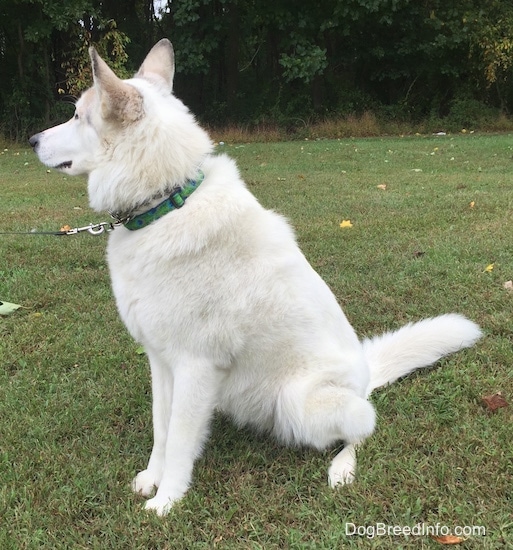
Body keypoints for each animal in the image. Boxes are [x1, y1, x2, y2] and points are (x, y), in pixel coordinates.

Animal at [29, 40, 480, 516]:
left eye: (78, 115)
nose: (31, 140)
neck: (165, 204)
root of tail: (365, 373)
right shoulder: (161, 363)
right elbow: (161, 431)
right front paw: (152, 480)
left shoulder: (194, 366)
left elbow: (179, 443)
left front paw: (167, 501)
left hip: (299, 400)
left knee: (363, 428)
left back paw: (342, 469)